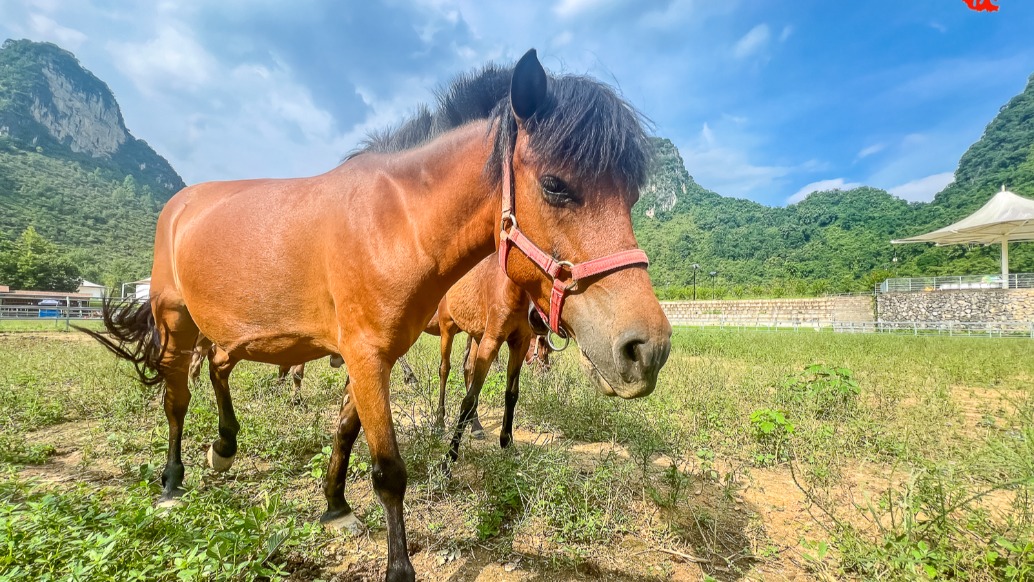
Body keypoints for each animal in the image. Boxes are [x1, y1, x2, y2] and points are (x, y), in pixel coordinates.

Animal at [82, 49, 671, 582]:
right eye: (554, 185)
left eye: (632, 196)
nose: (647, 349)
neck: (391, 225)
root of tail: (180, 204)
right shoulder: (366, 356)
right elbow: (389, 472)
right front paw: (397, 564)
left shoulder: (369, 357)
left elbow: (345, 430)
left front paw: (335, 505)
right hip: (176, 321)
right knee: (177, 399)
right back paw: (172, 482)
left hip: (234, 333)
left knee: (219, 372)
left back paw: (224, 448)